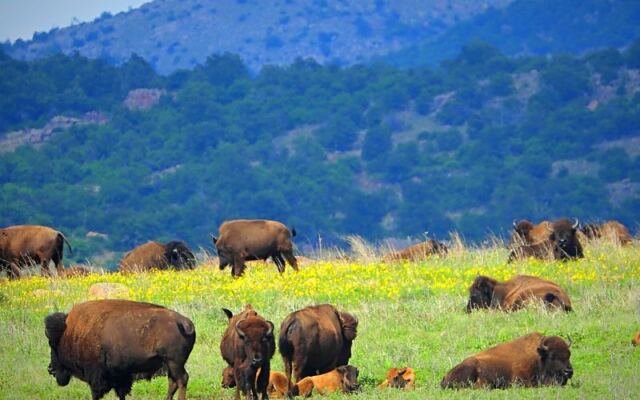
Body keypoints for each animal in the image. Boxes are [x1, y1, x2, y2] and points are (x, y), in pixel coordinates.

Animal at [44, 299, 196, 400]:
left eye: (53, 344)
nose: (50, 369)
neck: (72, 333)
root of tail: (183, 322)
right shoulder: (121, 375)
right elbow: (121, 392)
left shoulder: (96, 376)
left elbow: (96, 393)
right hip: (170, 364)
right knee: (173, 382)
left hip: (174, 362)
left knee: (182, 379)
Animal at [441, 332, 573, 389]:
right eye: (552, 356)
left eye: (569, 354)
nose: (569, 372)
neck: (538, 357)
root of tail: (445, 376)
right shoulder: (519, 380)